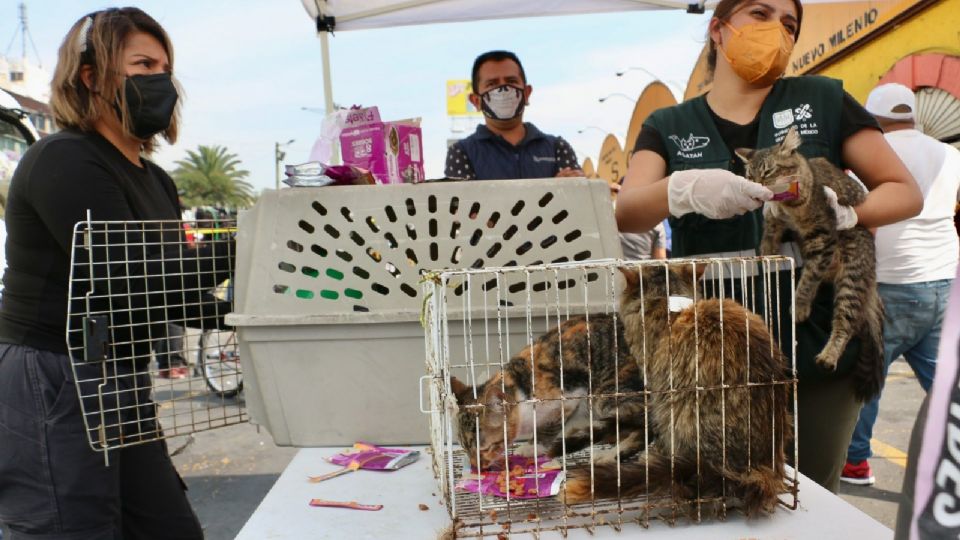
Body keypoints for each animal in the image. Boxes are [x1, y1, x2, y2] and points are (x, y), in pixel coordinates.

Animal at [448, 314, 644, 470]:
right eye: (465, 448)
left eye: (485, 448)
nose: (476, 466)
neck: (520, 386)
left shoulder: (571, 394)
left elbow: (551, 425)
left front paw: (532, 447)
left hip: (609, 389)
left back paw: (610, 455)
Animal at [736, 125, 884, 400]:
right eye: (750, 175)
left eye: (768, 172)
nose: (757, 185)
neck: (790, 204)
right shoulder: (777, 218)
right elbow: (769, 230)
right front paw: (767, 250)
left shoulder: (822, 240)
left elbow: (807, 281)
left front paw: (800, 306)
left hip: (851, 279)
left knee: (846, 323)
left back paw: (828, 356)